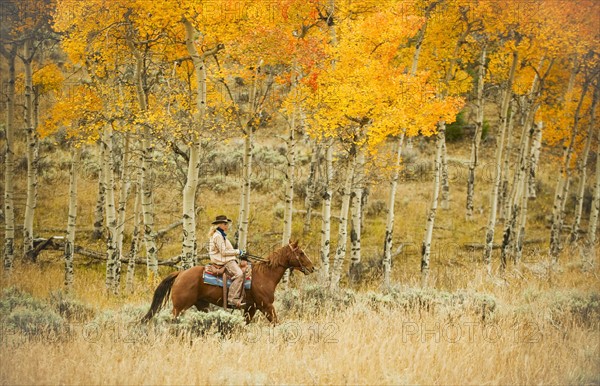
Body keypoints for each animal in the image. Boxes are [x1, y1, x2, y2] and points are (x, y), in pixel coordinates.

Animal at [142, 243, 316, 324]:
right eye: (301, 253)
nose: (312, 267)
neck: (264, 275)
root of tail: (180, 274)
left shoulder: (251, 308)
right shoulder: (266, 306)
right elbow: (276, 323)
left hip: (202, 305)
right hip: (179, 307)